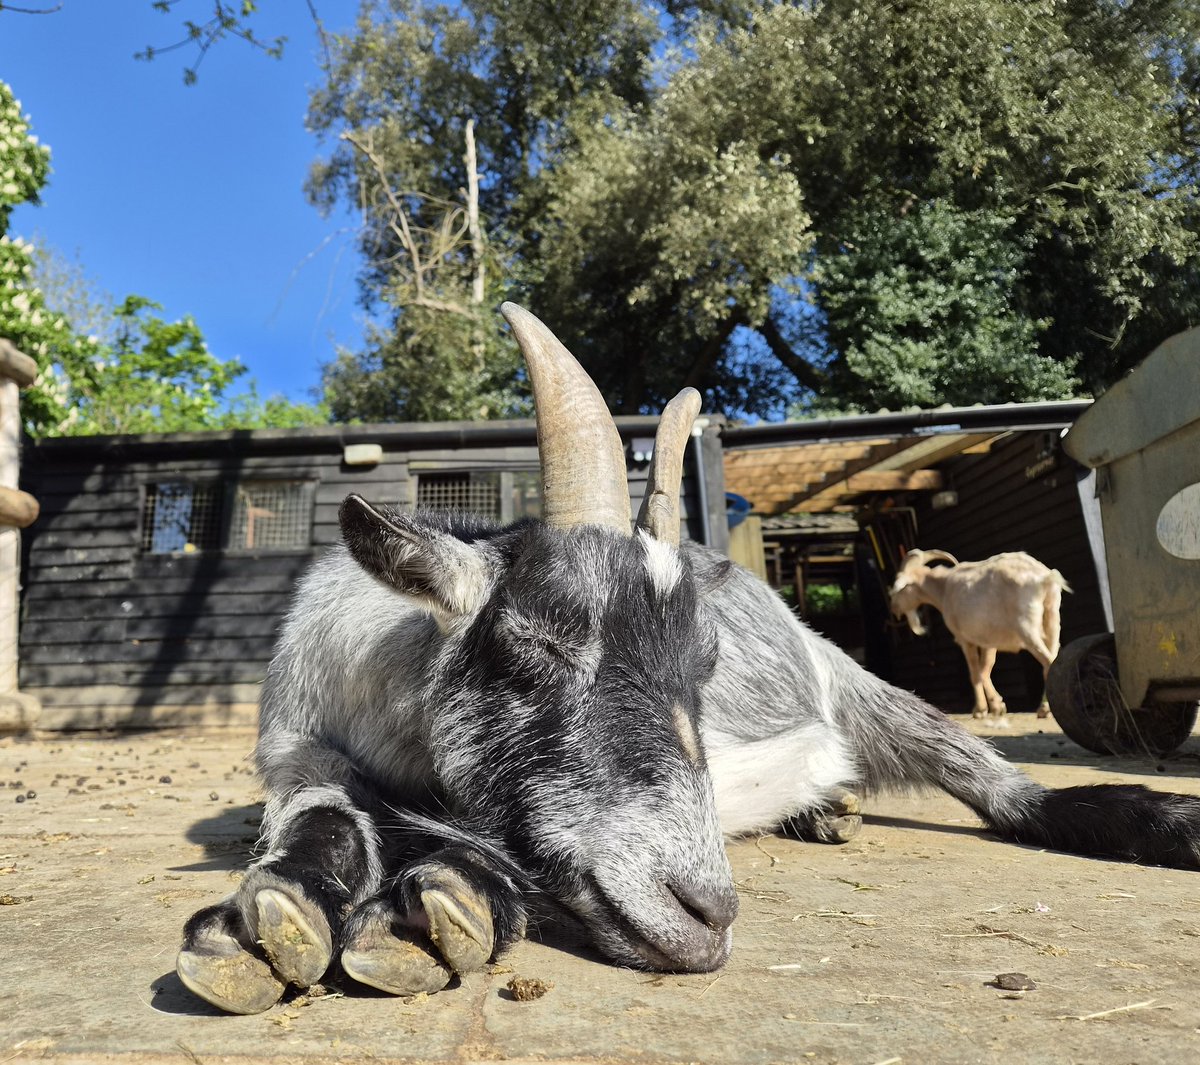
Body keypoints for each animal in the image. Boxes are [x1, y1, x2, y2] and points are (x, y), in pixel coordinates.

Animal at [889, 549, 1069, 721]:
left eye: (899, 588)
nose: (893, 609)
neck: (944, 588)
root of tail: (1044, 577)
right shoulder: (988, 641)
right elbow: (986, 669)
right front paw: (997, 706)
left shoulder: (965, 640)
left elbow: (975, 673)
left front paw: (980, 710)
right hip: (1052, 620)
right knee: (1054, 658)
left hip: (1027, 628)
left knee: (1048, 661)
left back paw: (1044, 709)